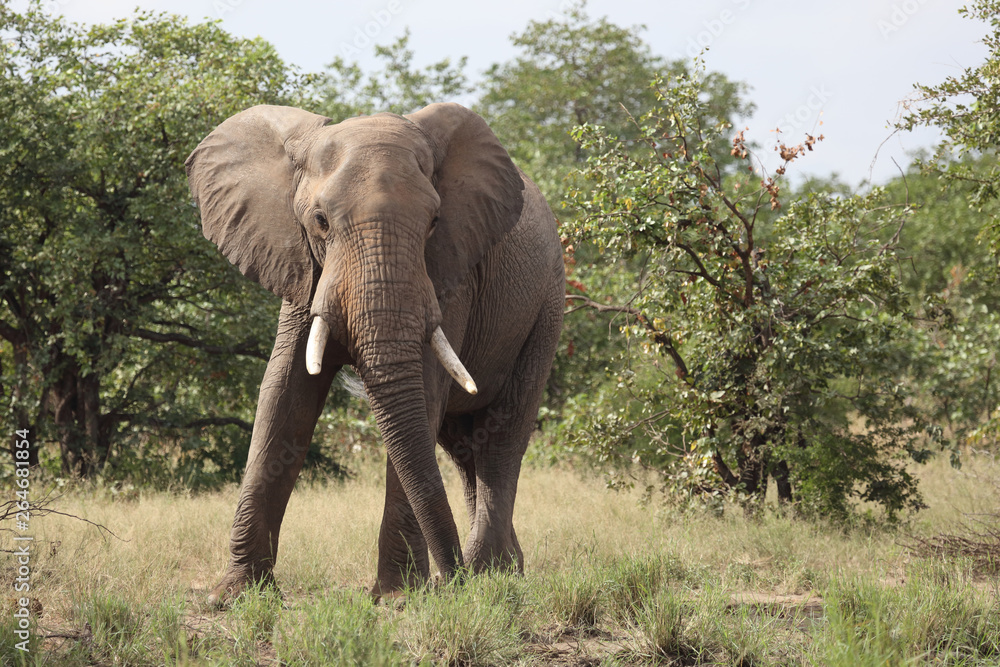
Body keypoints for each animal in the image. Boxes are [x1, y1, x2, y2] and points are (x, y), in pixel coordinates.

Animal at [185, 100, 568, 604]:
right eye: (320, 221)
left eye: (434, 222)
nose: (450, 583)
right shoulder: (301, 264)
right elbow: (283, 396)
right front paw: (232, 596)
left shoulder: (449, 274)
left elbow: (421, 391)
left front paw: (398, 597)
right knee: (464, 448)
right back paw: (494, 571)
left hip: (547, 307)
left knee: (501, 438)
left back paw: (488, 574)